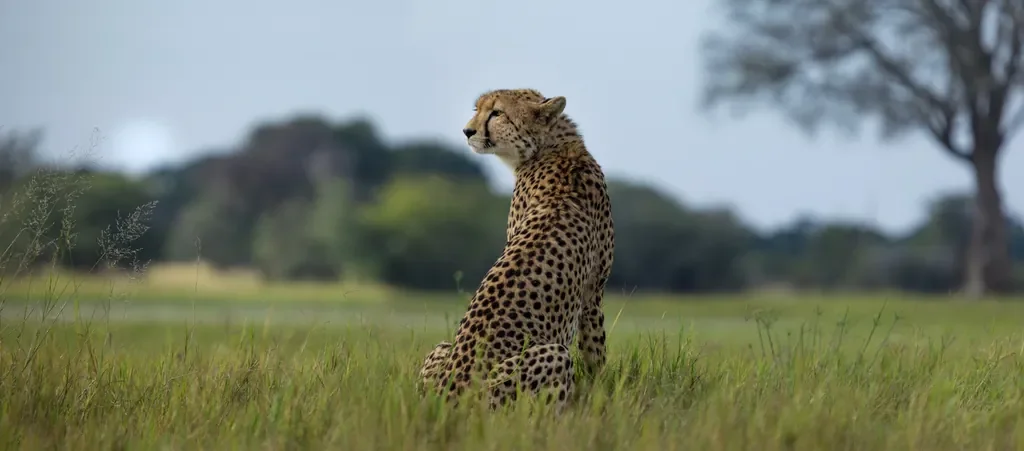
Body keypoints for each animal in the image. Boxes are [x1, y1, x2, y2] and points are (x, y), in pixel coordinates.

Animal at [418, 88, 615, 411]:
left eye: (497, 113)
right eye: (477, 109)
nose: (467, 131)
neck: (552, 146)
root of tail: (451, 392)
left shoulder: (593, 291)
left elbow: (594, 354)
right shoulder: (593, 293)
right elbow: (595, 354)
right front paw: (599, 396)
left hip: (446, 351)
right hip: (550, 357)